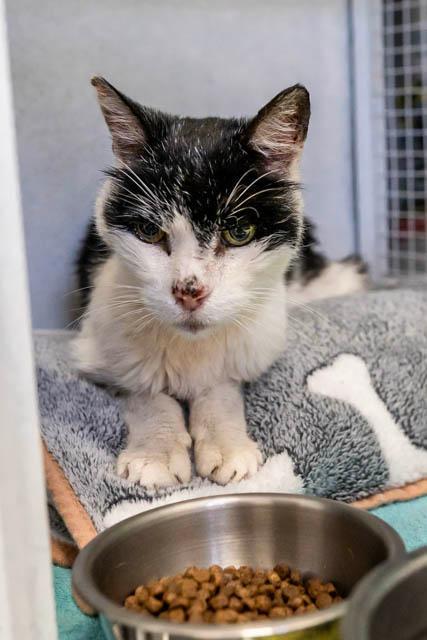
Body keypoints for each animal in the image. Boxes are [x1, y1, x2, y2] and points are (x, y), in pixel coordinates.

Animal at [74, 77, 367, 488]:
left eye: (239, 232)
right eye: (149, 231)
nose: (189, 292)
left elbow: (221, 389)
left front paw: (227, 445)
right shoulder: (100, 344)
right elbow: (145, 391)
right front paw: (156, 453)